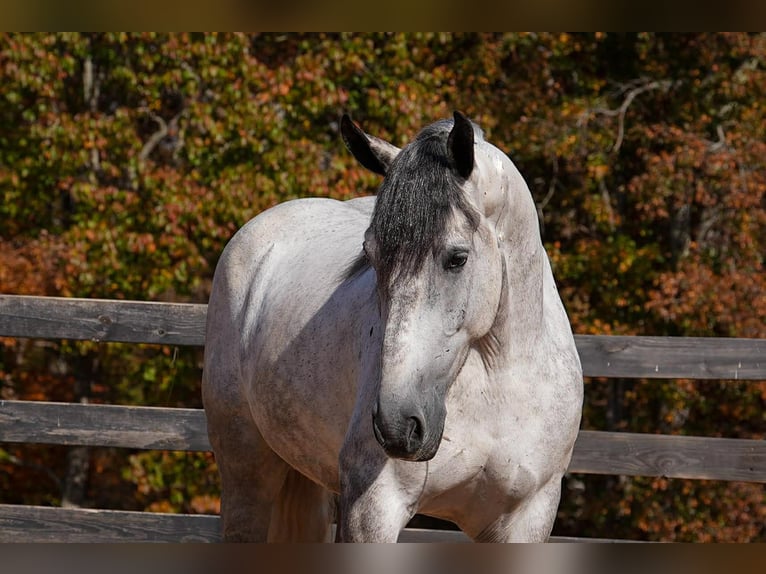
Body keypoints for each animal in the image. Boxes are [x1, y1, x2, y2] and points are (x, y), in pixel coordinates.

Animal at [201, 111, 583, 542]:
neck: (498, 384)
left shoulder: (527, 518)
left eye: (457, 257)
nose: (396, 425)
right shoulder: (374, 507)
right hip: (247, 476)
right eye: (370, 255)